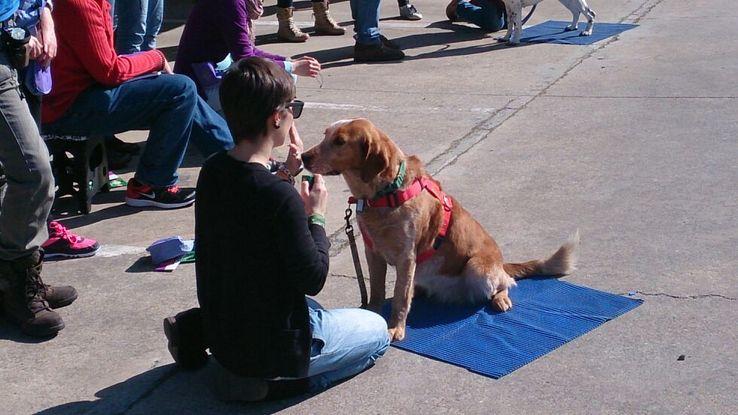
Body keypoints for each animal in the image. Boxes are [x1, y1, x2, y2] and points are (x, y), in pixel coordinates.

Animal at [302, 119, 576, 342]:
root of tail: (501, 263)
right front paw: (371, 316)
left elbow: (399, 297)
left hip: (478, 268)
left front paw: (395, 327)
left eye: (339, 141)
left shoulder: (406, 257)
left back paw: (500, 297)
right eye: (325, 134)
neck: (384, 194)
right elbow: (378, 291)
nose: (304, 156)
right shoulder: (373, 253)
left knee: (506, 282)